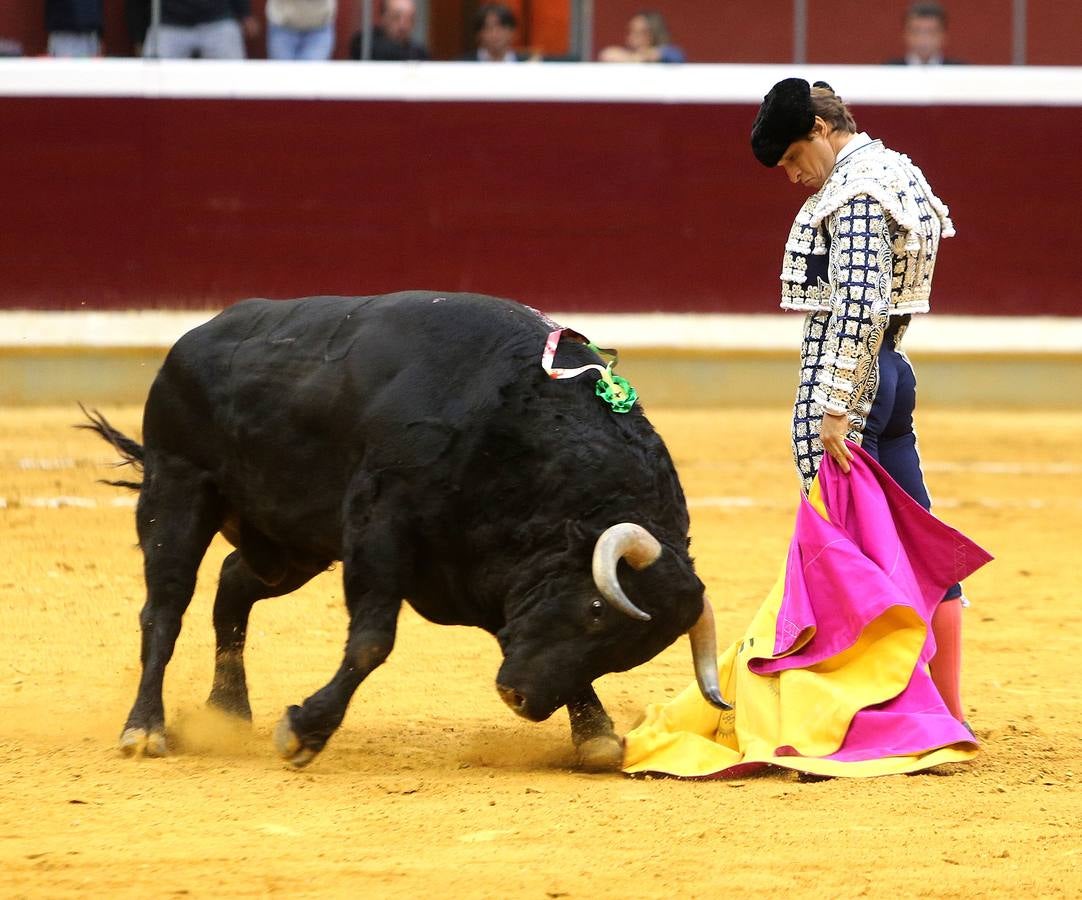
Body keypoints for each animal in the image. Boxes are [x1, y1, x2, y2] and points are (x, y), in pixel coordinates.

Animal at [84, 292, 727, 770]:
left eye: (626, 655)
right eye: (596, 611)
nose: (519, 699)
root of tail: (193, 338)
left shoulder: (482, 574)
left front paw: (594, 735)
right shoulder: (379, 531)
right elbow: (372, 641)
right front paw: (303, 732)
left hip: (289, 549)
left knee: (233, 586)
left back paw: (227, 712)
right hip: (177, 489)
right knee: (165, 609)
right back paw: (144, 731)